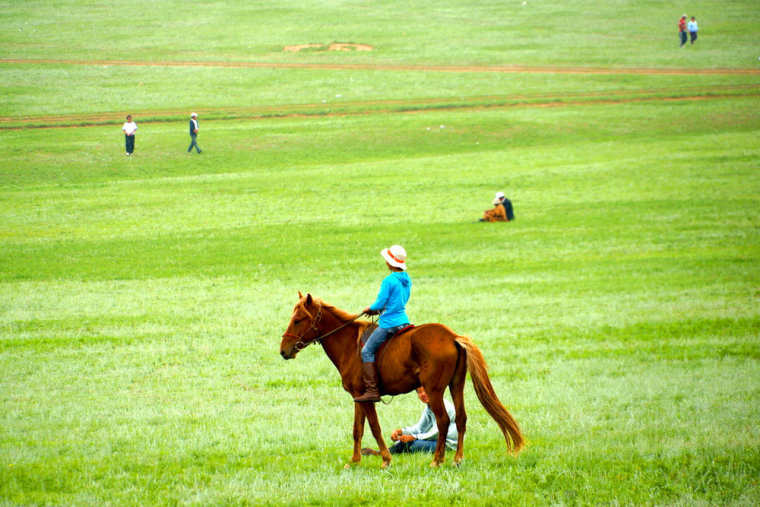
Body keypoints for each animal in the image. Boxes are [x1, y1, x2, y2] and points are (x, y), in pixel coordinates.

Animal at [280, 294, 524, 468]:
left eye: (298, 320)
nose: (284, 351)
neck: (350, 344)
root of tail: (452, 336)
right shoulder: (358, 398)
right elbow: (357, 429)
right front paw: (355, 461)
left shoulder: (366, 398)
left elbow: (374, 427)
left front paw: (386, 460)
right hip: (456, 386)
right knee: (461, 419)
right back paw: (457, 459)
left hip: (435, 391)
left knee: (444, 421)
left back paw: (437, 460)